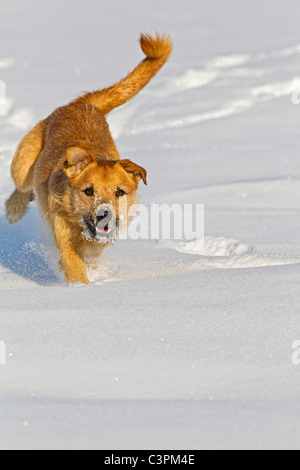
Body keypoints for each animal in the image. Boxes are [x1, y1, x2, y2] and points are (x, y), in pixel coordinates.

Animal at [5, 34, 172, 282]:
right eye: (88, 191)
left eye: (119, 192)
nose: (104, 214)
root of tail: (83, 105)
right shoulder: (64, 236)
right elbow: (74, 267)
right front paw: (82, 288)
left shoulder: (97, 246)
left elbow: (90, 261)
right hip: (23, 163)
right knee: (22, 186)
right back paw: (14, 210)